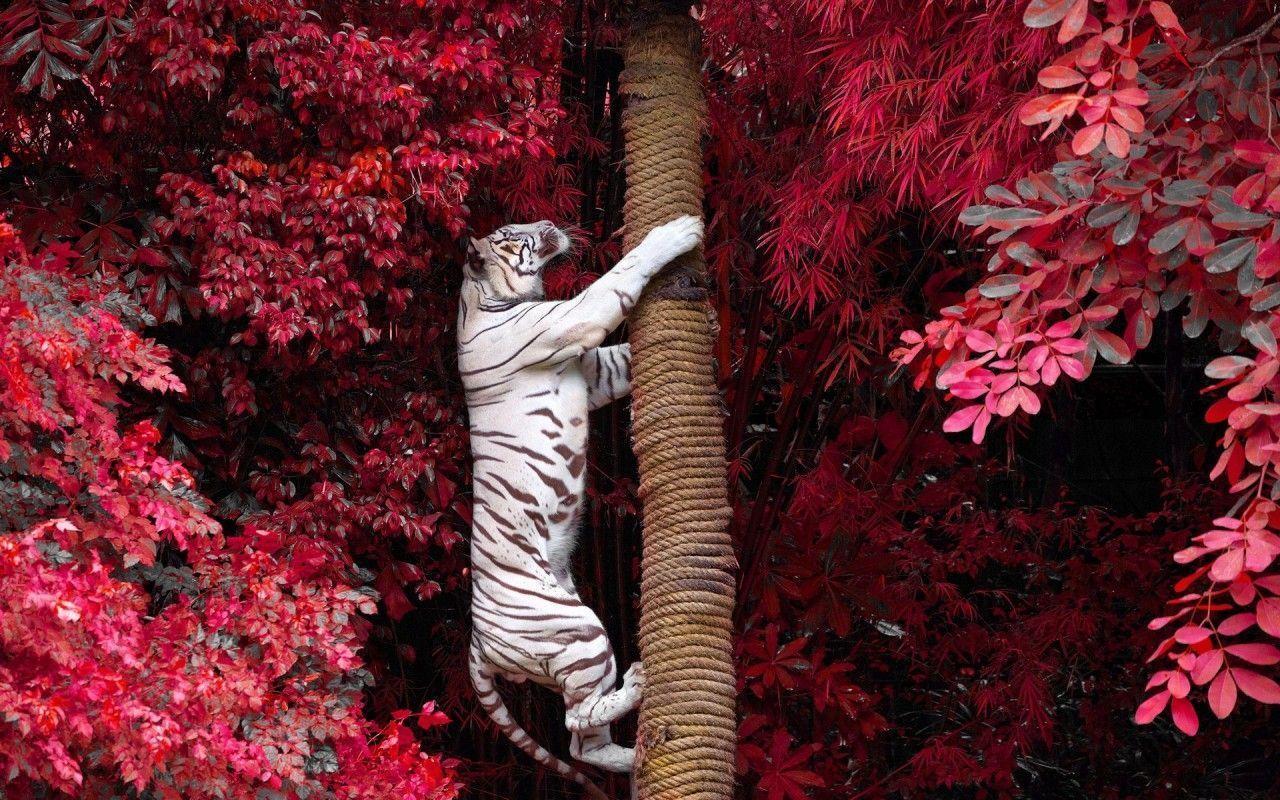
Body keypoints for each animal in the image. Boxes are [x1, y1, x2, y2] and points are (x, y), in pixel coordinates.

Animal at [458, 214, 703, 796]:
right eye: (514, 233)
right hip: (578, 632)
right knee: (573, 725)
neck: (484, 297)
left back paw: (631, 755)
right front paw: (678, 232)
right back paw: (636, 686)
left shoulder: (595, 371)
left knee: (581, 743)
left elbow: (625, 355)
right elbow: (621, 274)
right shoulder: (573, 319)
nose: (548, 220)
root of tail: (476, 643)